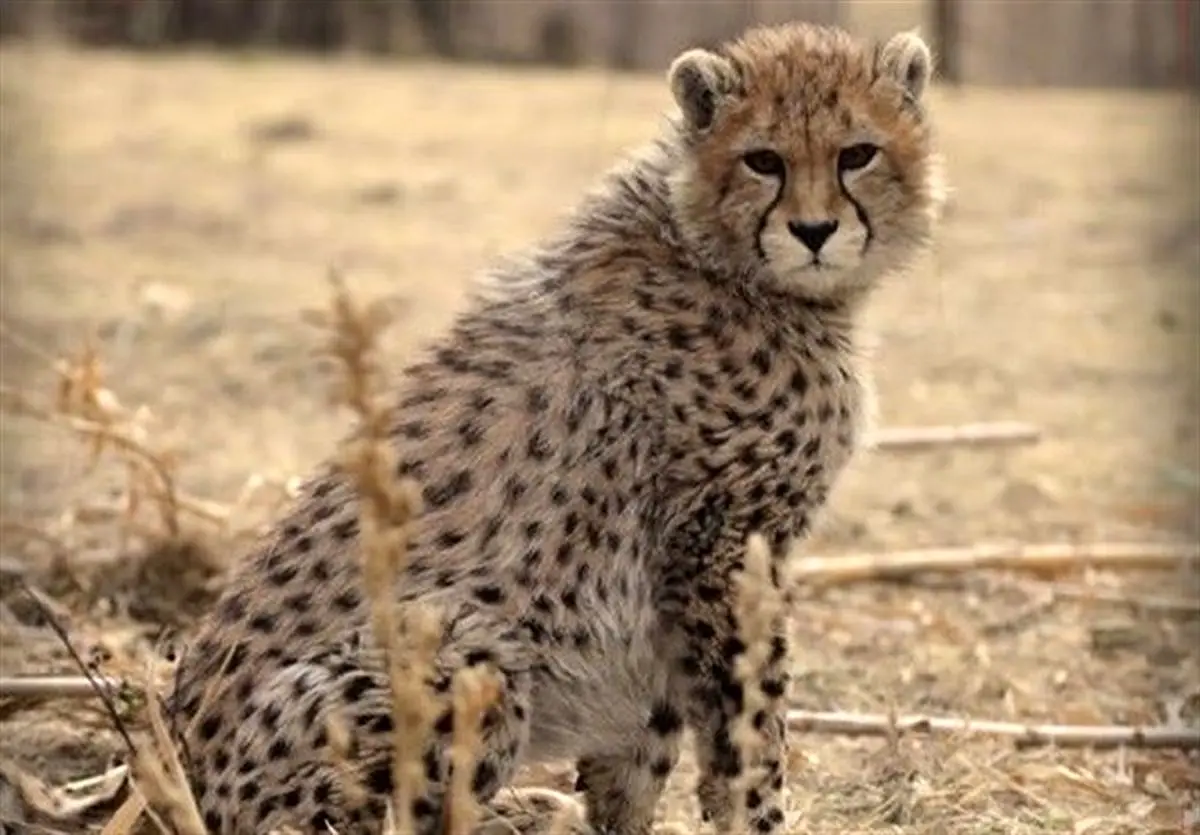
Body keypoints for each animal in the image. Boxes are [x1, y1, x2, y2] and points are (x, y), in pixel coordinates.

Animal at [171, 19, 945, 835]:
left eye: (857, 153)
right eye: (762, 160)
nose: (815, 230)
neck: (710, 248)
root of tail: (180, 753)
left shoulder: (671, 581)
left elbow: (648, 743)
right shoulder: (719, 544)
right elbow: (749, 720)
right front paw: (757, 812)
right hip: (461, 645)